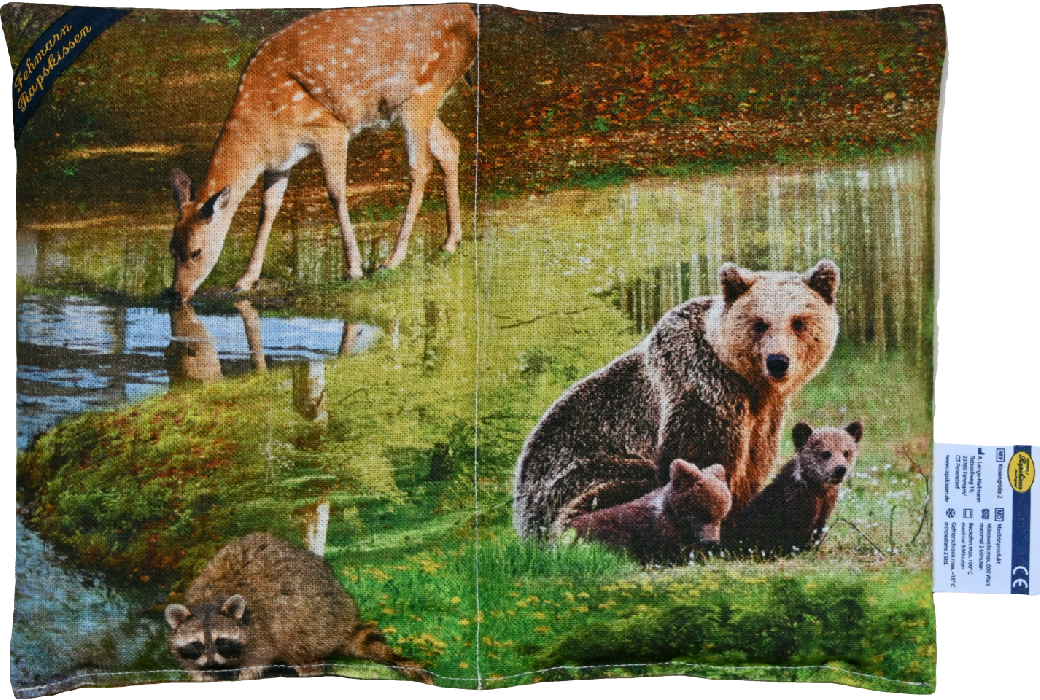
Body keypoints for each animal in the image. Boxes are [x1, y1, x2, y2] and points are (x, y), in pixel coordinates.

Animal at [168, 5, 478, 303]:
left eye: (196, 251)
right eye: (172, 247)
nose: (177, 293)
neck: (264, 125)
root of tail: (471, 19)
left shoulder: (330, 128)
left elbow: (336, 192)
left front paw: (354, 269)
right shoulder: (280, 161)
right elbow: (268, 208)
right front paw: (245, 281)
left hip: (423, 92)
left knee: (420, 166)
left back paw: (391, 260)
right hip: (411, 105)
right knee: (450, 146)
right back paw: (451, 242)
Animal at [513, 260, 841, 540]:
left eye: (798, 322)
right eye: (759, 323)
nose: (778, 361)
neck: (746, 382)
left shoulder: (764, 416)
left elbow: (753, 467)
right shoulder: (702, 387)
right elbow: (702, 459)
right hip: (572, 479)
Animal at [724, 421, 862, 555]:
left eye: (846, 452)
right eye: (826, 453)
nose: (840, 469)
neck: (817, 489)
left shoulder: (825, 505)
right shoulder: (796, 505)